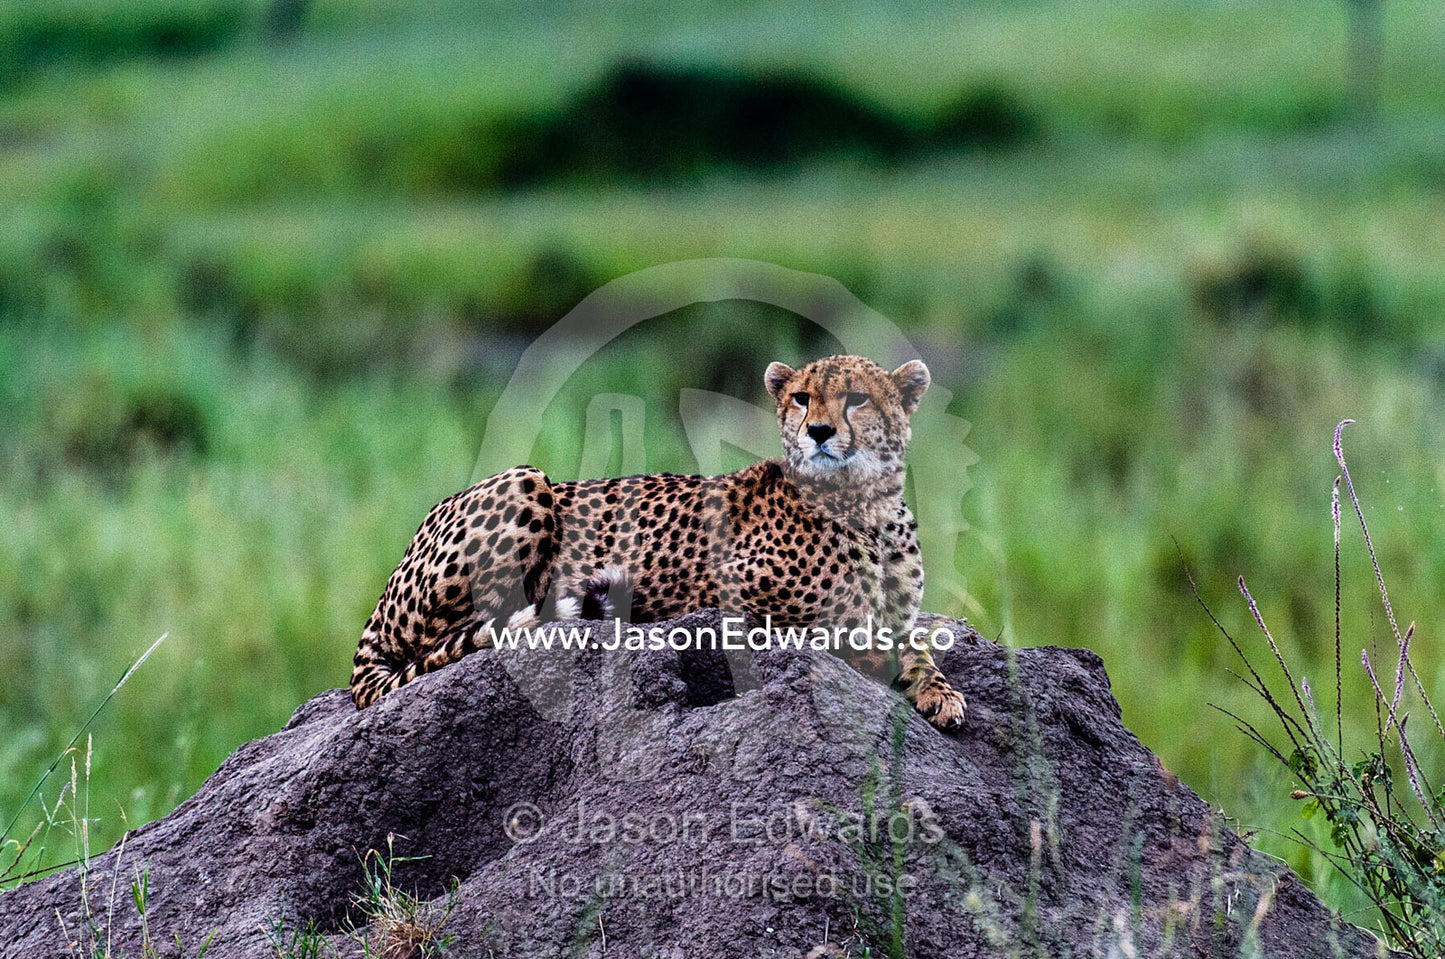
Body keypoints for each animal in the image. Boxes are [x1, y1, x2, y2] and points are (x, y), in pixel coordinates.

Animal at [350, 354, 967, 729]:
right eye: (800, 398)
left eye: (858, 398)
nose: (818, 431)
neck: (866, 506)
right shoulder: (731, 591)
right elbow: (847, 629)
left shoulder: (900, 612)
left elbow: (915, 642)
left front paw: (940, 693)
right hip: (525, 482)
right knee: (458, 637)